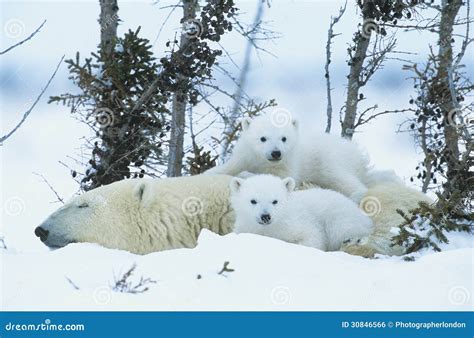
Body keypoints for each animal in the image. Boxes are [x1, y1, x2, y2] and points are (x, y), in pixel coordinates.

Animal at [204, 115, 392, 202]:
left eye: (284, 138)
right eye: (263, 138)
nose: (276, 153)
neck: (261, 160)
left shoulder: (288, 163)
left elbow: (282, 179)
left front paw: (247, 176)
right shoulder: (244, 155)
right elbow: (226, 168)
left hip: (329, 159)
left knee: (342, 178)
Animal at [230, 174, 374, 251]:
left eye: (275, 201)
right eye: (253, 201)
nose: (265, 216)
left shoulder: (295, 223)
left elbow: (312, 237)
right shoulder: (246, 227)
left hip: (340, 217)